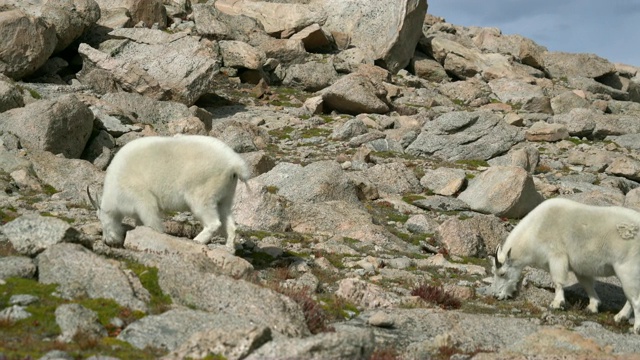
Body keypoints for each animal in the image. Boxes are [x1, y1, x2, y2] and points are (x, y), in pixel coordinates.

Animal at [87, 135, 250, 253]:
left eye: (101, 219)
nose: (108, 241)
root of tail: (235, 164)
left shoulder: (140, 196)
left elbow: (151, 219)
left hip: (203, 190)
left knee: (212, 221)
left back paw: (197, 240)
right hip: (226, 192)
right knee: (228, 218)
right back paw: (229, 248)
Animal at [492, 197, 640, 334]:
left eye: (502, 274)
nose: (496, 296)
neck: (536, 229)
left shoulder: (556, 255)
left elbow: (558, 281)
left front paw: (557, 303)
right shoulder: (580, 268)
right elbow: (587, 284)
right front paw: (592, 306)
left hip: (627, 268)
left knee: (636, 299)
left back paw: (636, 327)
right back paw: (620, 317)